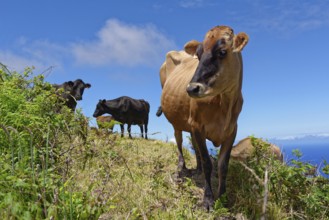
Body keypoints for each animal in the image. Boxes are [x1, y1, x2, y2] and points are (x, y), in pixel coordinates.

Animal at [158, 24, 247, 209]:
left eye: (222, 51)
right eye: (198, 55)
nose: (191, 88)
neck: (225, 104)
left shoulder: (232, 130)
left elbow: (223, 165)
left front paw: (223, 197)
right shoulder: (198, 125)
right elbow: (208, 163)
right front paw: (207, 199)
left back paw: (196, 168)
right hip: (177, 121)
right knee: (179, 140)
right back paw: (182, 167)